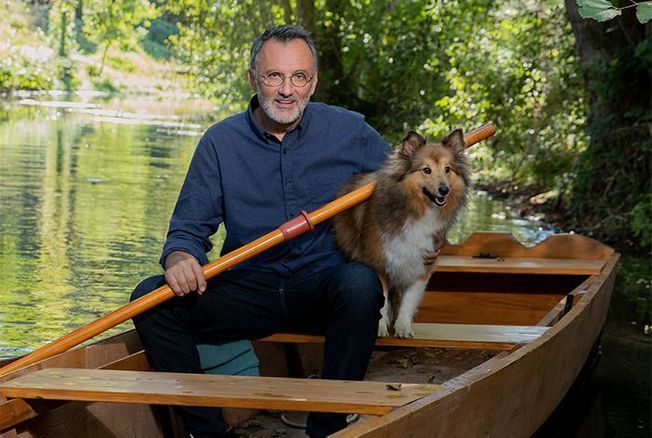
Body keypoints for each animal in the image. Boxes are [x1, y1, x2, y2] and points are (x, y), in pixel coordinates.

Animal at [336, 128, 468, 338]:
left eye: (447, 169)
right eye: (426, 170)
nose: (444, 190)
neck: (419, 212)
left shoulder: (421, 265)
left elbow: (409, 300)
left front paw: (403, 327)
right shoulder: (379, 262)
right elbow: (382, 301)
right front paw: (380, 327)